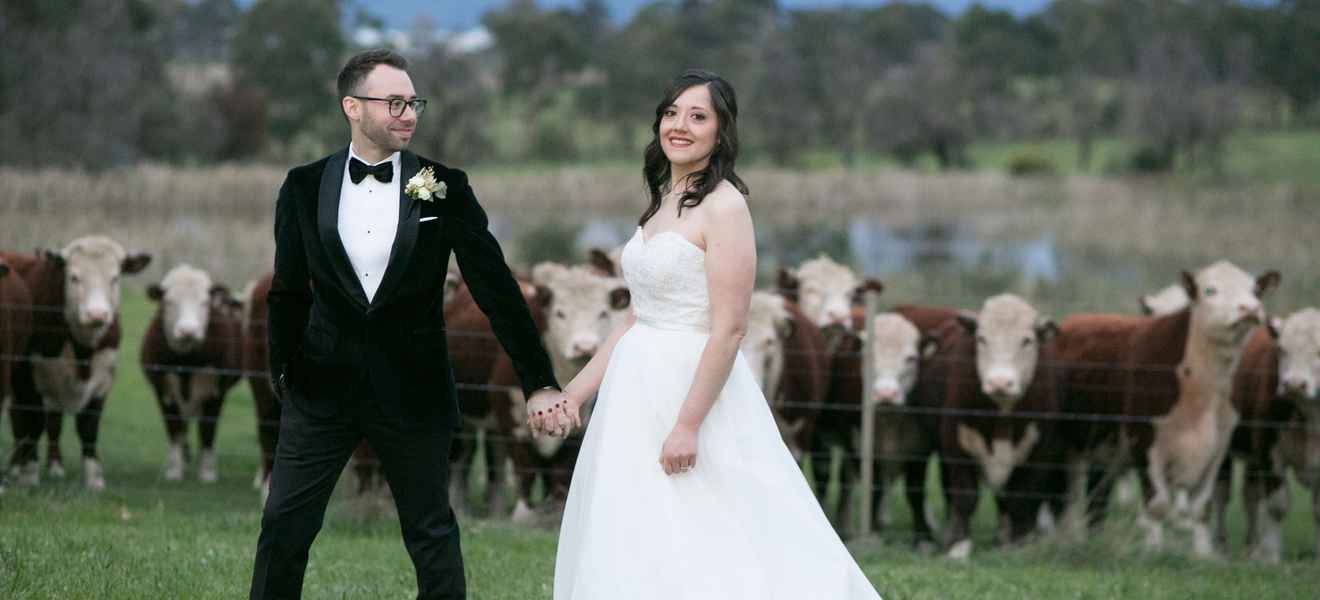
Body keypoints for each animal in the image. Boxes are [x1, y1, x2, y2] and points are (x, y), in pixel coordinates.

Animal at [2, 237, 151, 490]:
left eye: (115, 278)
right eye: (74, 277)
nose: (97, 314)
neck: (82, 348)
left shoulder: (103, 380)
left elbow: (88, 427)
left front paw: (93, 479)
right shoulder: (27, 378)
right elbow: (33, 423)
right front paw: (29, 475)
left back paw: (53, 467)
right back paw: (16, 467)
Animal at [142, 265, 248, 485]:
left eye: (205, 302)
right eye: (169, 302)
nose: (187, 330)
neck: (187, 363)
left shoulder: (217, 392)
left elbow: (208, 429)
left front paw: (207, 472)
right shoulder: (163, 391)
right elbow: (173, 428)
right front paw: (175, 470)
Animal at [1050, 263, 1277, 559]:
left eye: (1255, 290)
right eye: (1210, 290)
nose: (1249, 308)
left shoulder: (1217, 449)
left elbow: (1201, 506)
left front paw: (1204, 554)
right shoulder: (1145, 444)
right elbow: (1157, 504)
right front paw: (1154, 550)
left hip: (1094, 448)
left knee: (1088, 493)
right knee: (1067, 494)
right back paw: (1065, 540)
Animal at [1209, 309, 1320, 564]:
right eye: (1282, 349)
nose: (1294, 385)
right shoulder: (1269, 450)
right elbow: (1277, 505)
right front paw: (1270, 557)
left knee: (1250, 496)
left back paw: (1251, 547)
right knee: (1222, 494)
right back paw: (1220, 546)